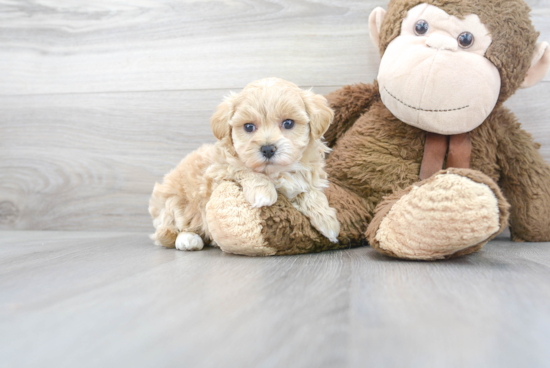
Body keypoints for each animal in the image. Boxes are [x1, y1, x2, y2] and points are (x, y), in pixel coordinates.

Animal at [151, 77, 340, 250]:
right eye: (249, 127)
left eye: (288, 123)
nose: (268, 149)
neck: (276, 172)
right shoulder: (219, 168)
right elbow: (242, 168)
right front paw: (263, 193)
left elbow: (310, 192)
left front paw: (327, 220)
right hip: (174, 204)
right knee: (168, 232)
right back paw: (188, 239)